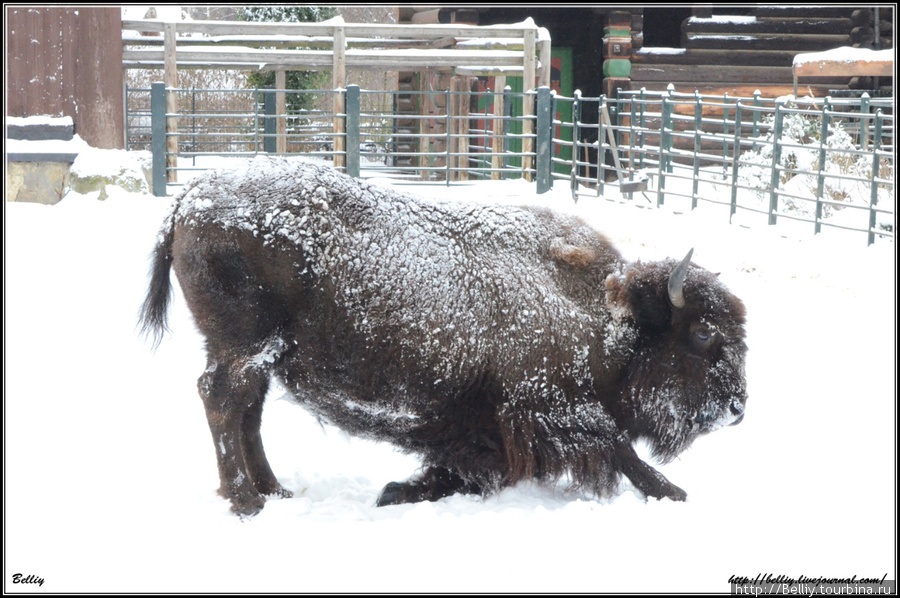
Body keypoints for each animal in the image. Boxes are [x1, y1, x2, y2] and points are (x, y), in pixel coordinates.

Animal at [139, 157, 744, 516]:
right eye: (703, 333)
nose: (737, 409)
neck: (603, 311)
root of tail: (190, 197)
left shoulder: (488, 426)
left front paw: (399, 491)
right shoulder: (548, 407)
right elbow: (619, 445)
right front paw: (674, 493)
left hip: (257, 351)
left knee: (249, 410)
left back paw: (274, 489)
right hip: (244, 346)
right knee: (223, 398)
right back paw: (246, 501)